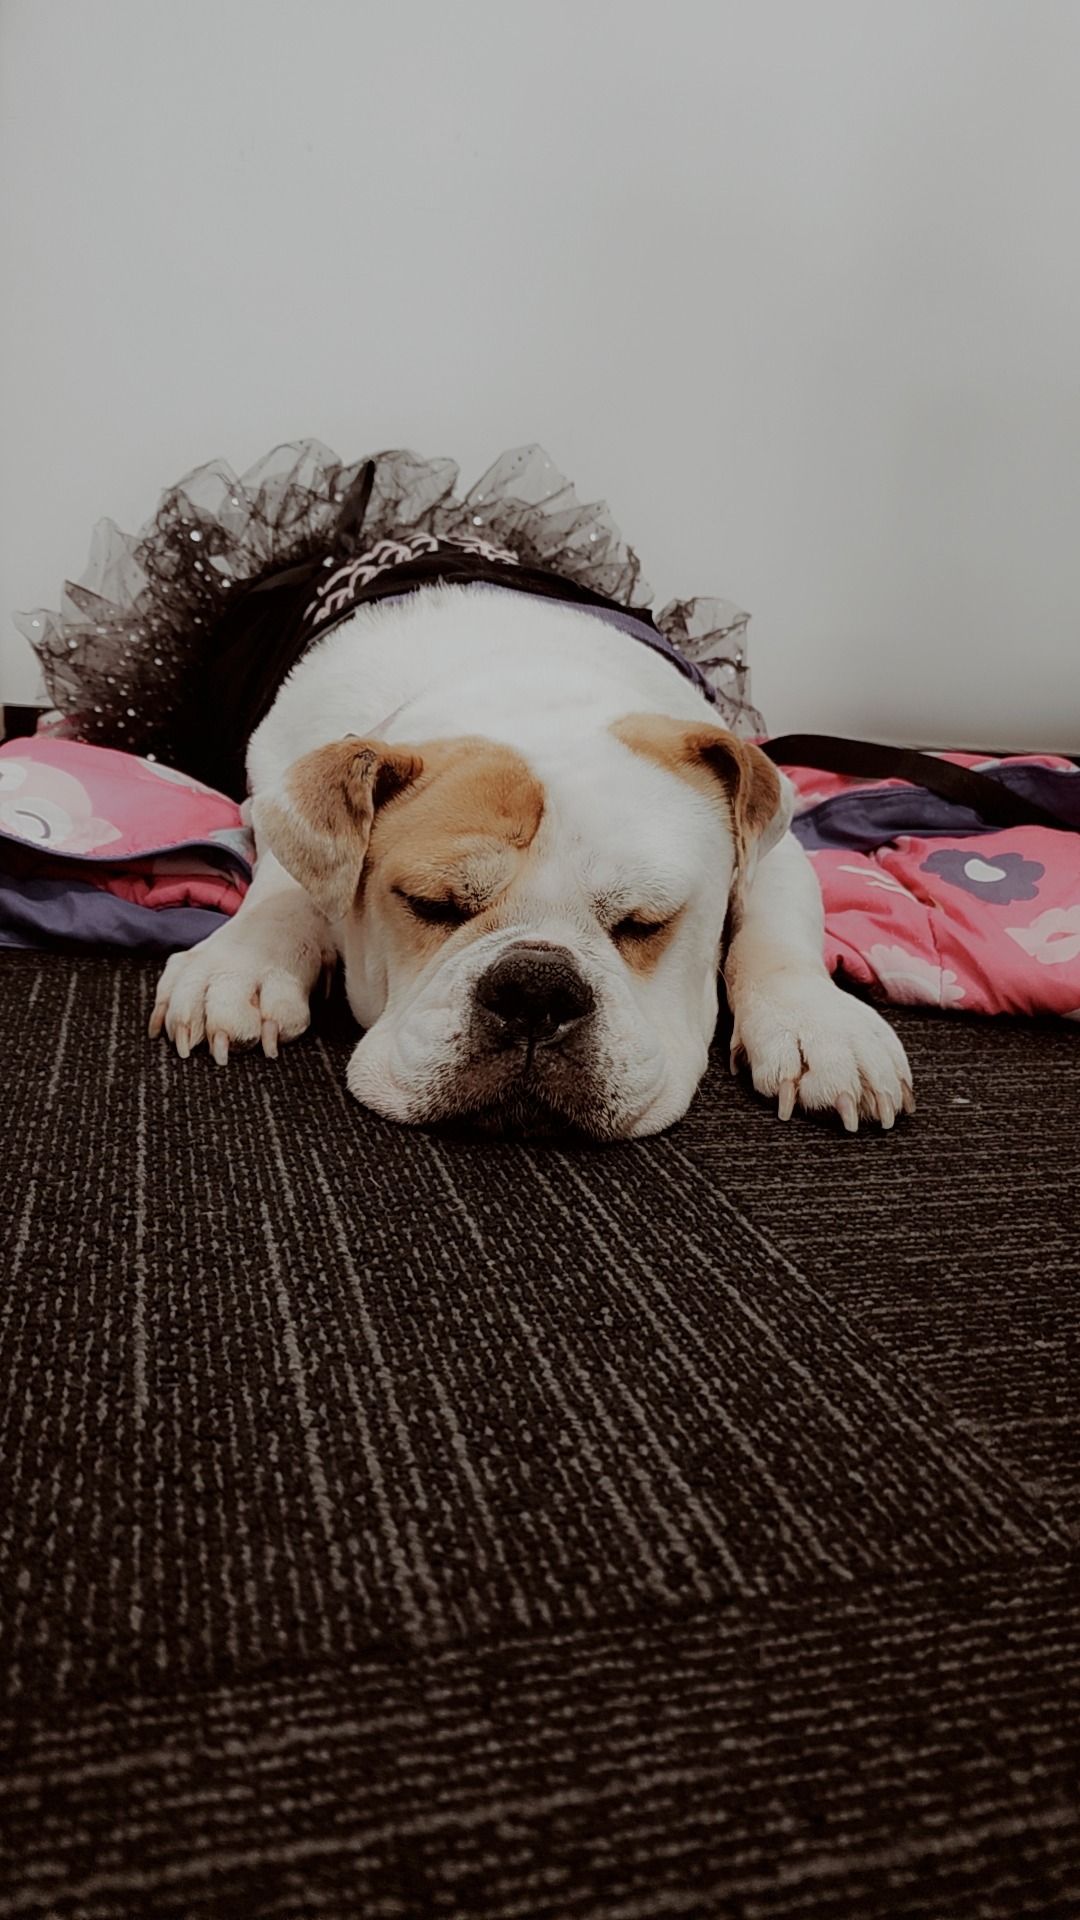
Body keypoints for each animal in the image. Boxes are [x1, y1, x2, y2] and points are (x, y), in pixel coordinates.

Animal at [149, 584, 913, 1139]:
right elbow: (288, 879)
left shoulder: (776, 851)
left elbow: (777, 935)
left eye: (645, 922)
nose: (535, 990)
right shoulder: (282, 795)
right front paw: (240, 964)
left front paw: (822, 1026)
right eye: (430, 905)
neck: (529, 682)